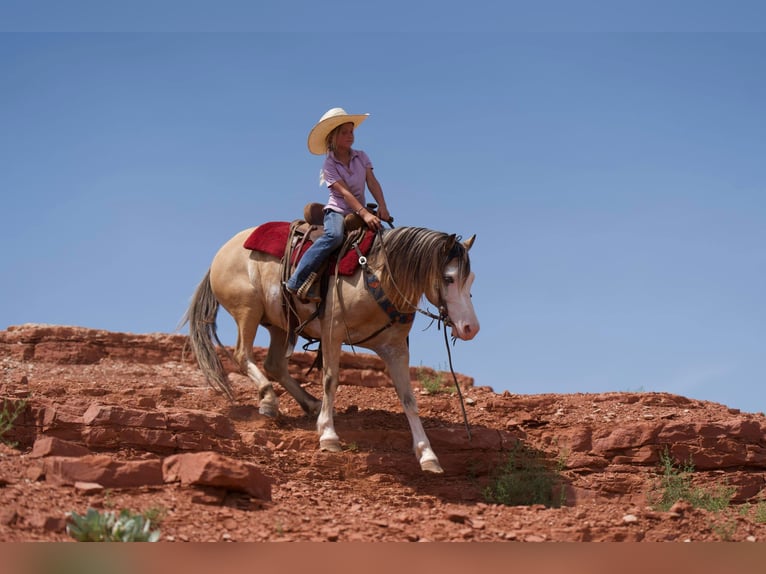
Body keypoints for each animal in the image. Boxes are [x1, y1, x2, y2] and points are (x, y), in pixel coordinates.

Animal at [184, 223, 480, 474]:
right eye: (449, 278)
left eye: (471, 279)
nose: (470, 328)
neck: (377, 277)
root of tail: (222, 252)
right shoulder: (332, 333)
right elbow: (330, 380)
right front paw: (328, 435)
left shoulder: (395, 348)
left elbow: (408, 399)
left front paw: (427, 455)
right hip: (248, 311)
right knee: (243, 355)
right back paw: (268, 399)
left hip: (281, 324)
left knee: (274, 364)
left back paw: (309, 403)